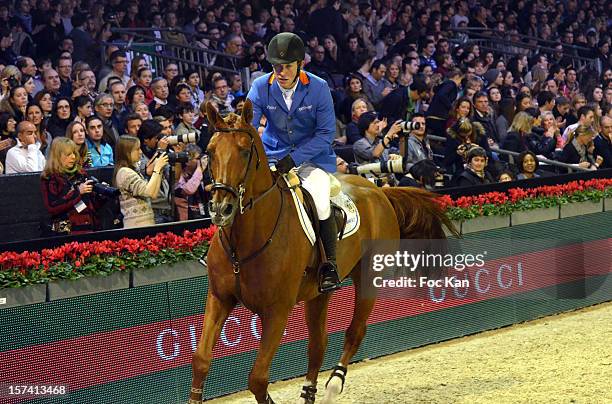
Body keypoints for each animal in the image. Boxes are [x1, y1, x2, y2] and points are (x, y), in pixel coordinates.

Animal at [189, 98, 456, 404]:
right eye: (210, 151)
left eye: (245, 151)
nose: (221, 209)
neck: (244, 241)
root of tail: (379, 191)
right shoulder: (219, 298)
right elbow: (201, 360)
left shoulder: (277, 311)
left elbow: (257, 378)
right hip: (318, 293)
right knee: (318, 344)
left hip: (368, 279)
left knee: (355, 332)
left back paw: (333, 385)